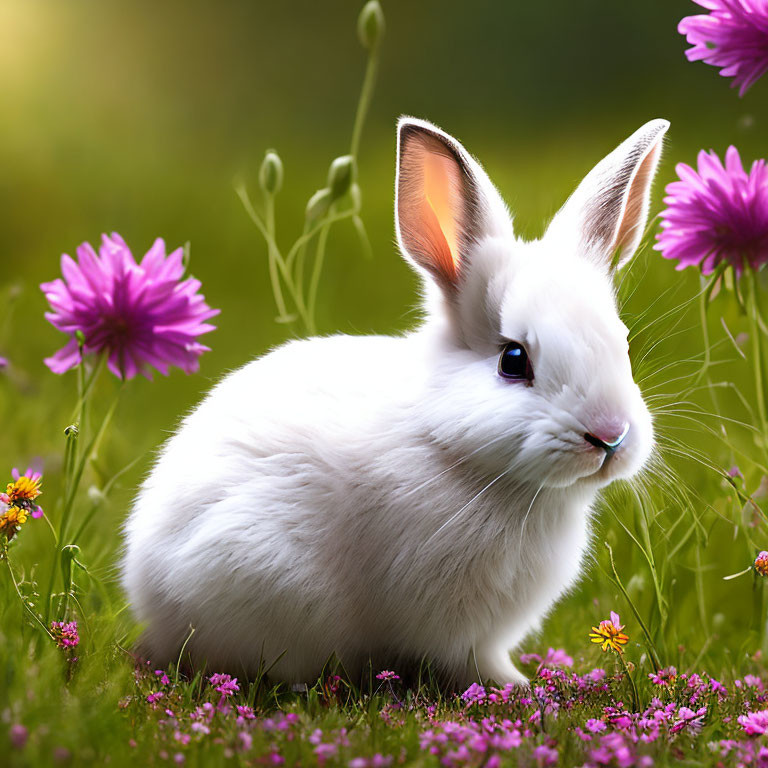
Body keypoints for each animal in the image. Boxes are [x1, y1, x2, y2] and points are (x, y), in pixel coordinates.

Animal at [120, 117, 664, 688]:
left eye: (623, 344)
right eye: (513, 360)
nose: (610, 436)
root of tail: (149, 596)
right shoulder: (453, 626)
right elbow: (471, 661)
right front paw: (515, 687)